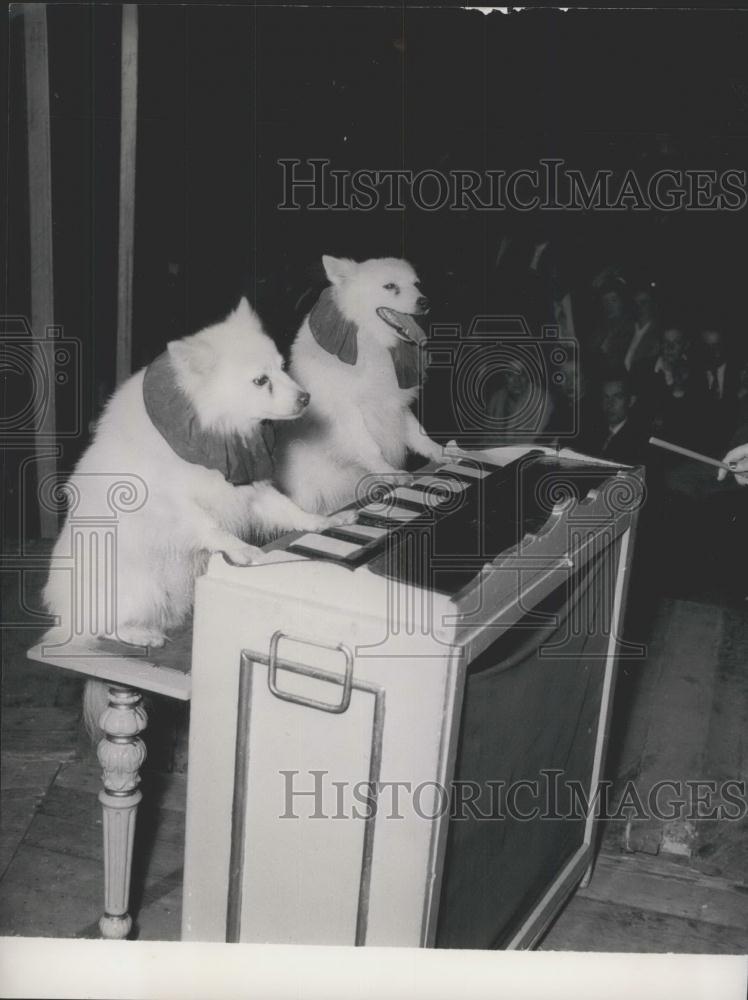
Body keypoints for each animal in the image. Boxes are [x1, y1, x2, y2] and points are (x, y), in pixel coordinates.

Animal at [42, 300, 352, 732]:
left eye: (281, 368)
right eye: (260, 381)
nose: (306, 398)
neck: (212, 430)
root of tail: (63, 615)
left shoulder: (251, 492)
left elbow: (291, 511)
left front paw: (324, 523)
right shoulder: (180, 509)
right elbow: (213, 529)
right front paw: (245, 552)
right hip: (143, 587)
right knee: (100, 626)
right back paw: (140, 634)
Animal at [278, 256, 448, 516]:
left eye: (416, 284)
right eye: (390, 286)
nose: (425, 302)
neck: (370, 340)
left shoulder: (395, 405)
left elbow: (417, 434)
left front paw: (439, 452)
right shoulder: (349, 413)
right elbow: (370, 447)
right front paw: (390, 472)